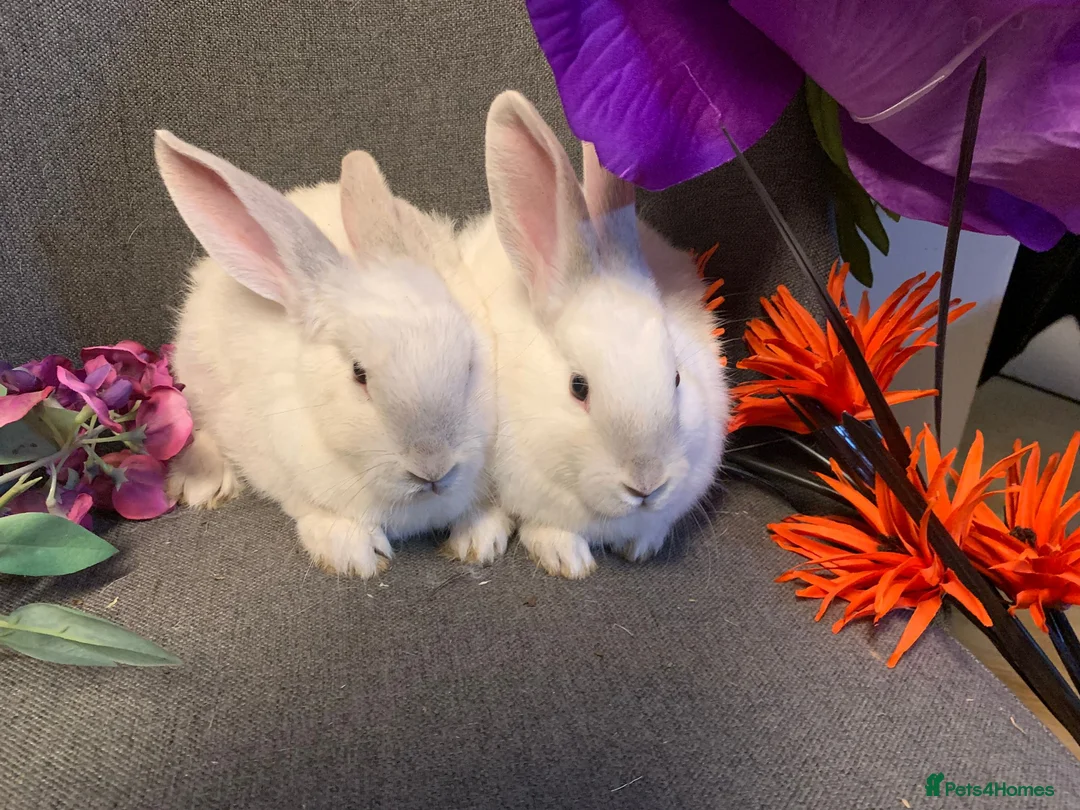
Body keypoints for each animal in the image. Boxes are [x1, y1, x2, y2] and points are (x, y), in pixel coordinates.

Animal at [156, 131, 508, 577]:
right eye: (358, 374)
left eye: (469, 362)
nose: (433, 468)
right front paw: (352, 553)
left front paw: (481, 537)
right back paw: (200, 481)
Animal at [458, 92, 729, 578]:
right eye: (578, 388)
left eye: (677, 378)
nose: (646, 484)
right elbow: (546, 526)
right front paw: (566, 559)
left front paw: (642, 546)